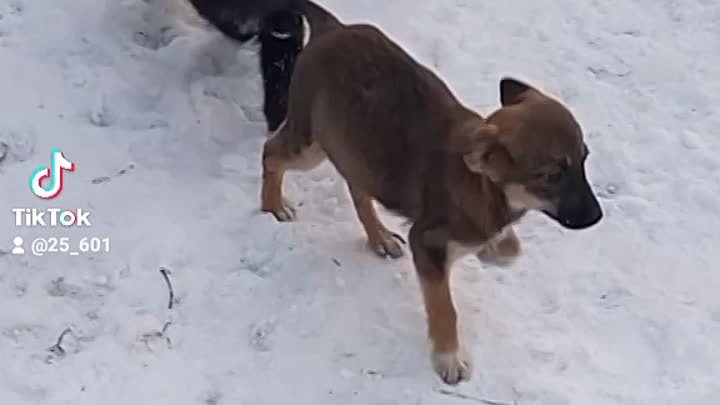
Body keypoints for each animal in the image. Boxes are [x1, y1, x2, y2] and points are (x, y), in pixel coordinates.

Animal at [258, 1, 600, 384]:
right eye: (552, 175)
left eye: (585, 159)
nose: (596, 217)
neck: (483, 185)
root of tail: (332, 26)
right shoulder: (426, 242)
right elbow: (444, 307)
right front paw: (448, 358)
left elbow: (510, 248)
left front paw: (493, 251)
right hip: (310, 143)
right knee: (271, 153)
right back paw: (273, 205)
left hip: (354, 147)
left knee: (357, 189)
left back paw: (379, 237)